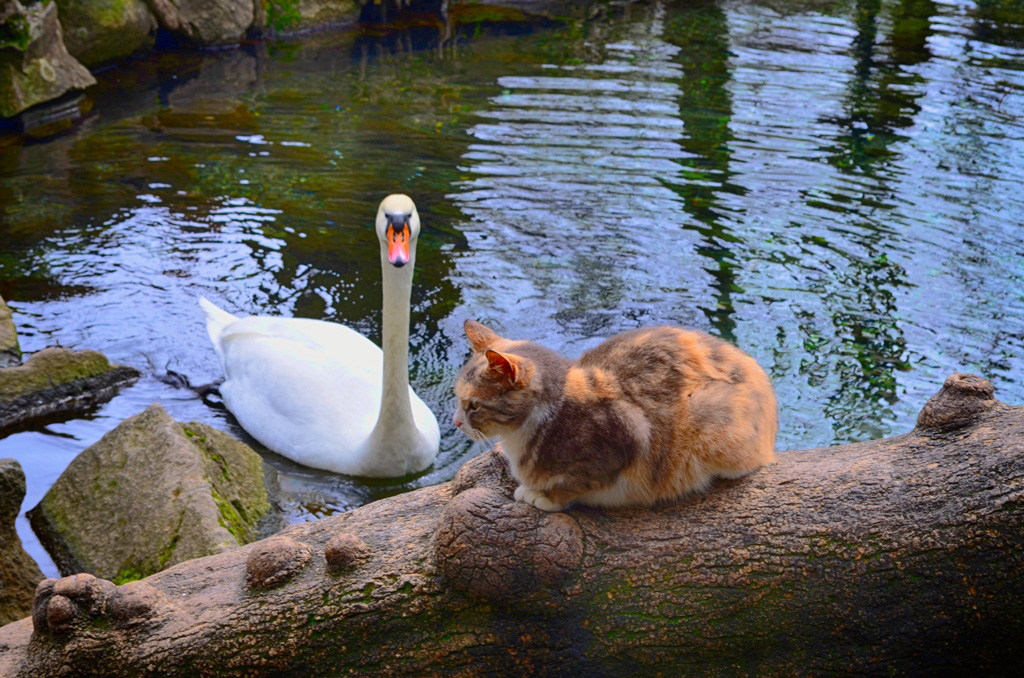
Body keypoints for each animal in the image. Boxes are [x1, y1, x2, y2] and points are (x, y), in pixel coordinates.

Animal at [452, 321, 778, 512]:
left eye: (474, 405)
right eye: (458, 398)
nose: (455, 422)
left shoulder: (624, 438)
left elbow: (574, 484)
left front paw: (543, 496)